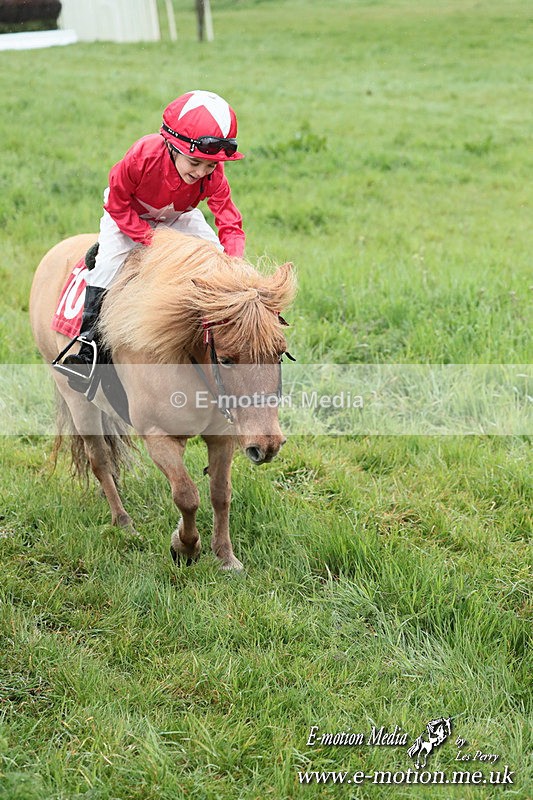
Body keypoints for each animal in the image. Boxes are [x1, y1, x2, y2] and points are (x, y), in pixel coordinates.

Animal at [29, 228, 296, 571]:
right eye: (225, 359)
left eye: (279, 353)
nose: (267, 445)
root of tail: (54, 253)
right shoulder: (159, 437)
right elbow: (187, 495)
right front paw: (186, 546)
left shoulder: (222, 437)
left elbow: (220, 493)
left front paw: (225, 556)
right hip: (76, 400)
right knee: (99, 460)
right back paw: (124, 523)